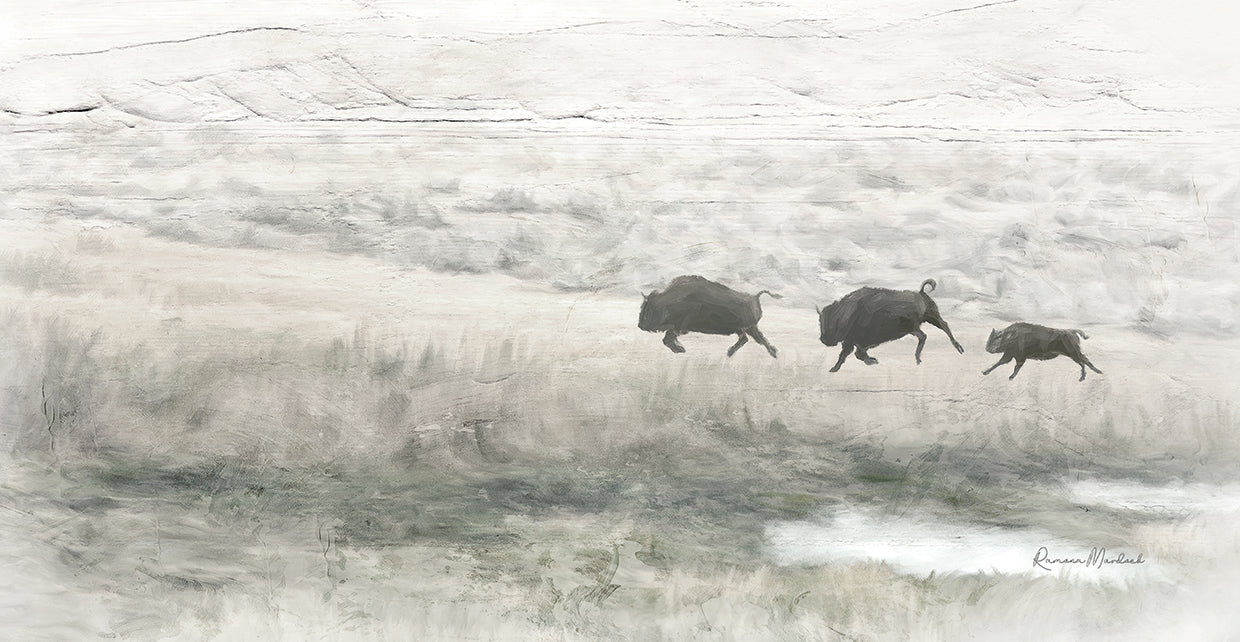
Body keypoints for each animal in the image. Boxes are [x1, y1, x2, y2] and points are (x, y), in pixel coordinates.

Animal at [639, 275, 781, 357]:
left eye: (648, 310)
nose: (640, 325)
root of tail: (755, 297)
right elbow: (667, 338)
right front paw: (680, 349)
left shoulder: (680, 325)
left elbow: (668, 338)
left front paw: (680, 349)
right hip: (744, 328)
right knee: (749, 339)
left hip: (748, 327)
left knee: (755, 339)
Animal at [817, 279, 964, 371]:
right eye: (820, 322)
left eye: (832, 323)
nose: (823, 339)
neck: (848, 312)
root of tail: (921, 292)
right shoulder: (853, 342)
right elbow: (853, 354)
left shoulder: (855, 341)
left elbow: (851, 354)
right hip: (926, 321)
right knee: (936, 330)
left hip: (917, 325)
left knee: (930, 333)